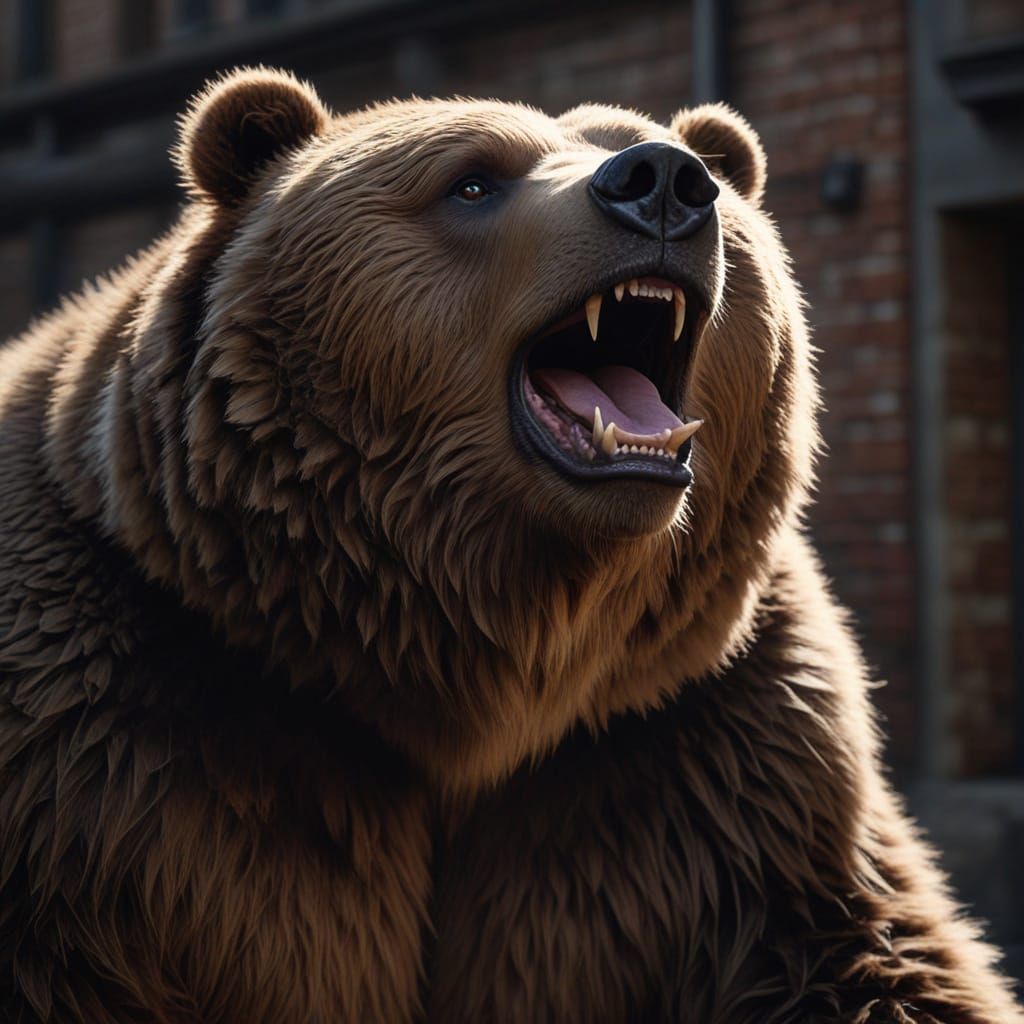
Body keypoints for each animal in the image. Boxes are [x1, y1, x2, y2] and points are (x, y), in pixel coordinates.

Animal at [0, 66, 1020, 1023]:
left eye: (713, 191)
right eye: (471, 181)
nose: (664, 182)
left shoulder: (697, 756)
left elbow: (865, 957)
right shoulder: (134, 753)